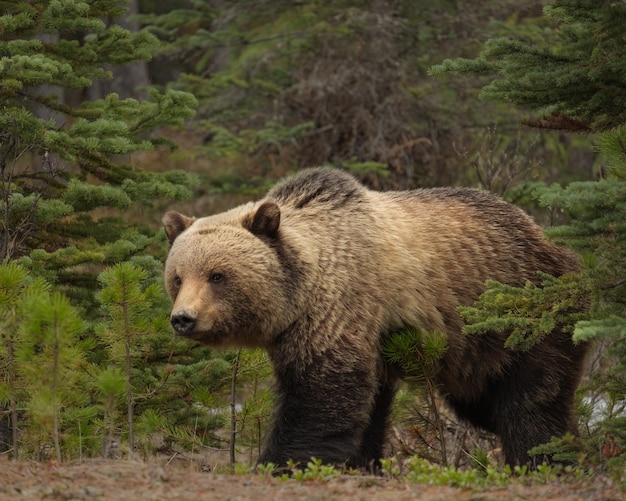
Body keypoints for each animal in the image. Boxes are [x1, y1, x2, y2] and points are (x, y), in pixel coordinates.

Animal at [161, 167, 584, 468]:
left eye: (217, 275)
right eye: (177, 277)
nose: (183, 318)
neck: (299, 297)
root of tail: (550, 241)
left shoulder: (339, 309)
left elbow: (319, 398)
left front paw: (279, 464)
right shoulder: (371, 341)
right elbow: (365, 410)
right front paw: (361, 464)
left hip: (523, 321)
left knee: (530, 404)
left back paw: (544, 459)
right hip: (470, 356)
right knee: (486, 405)